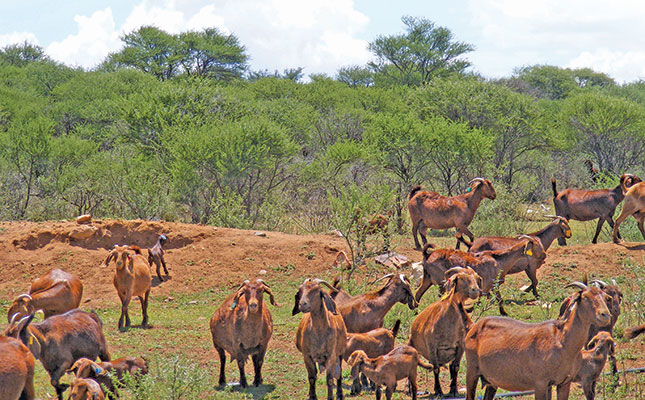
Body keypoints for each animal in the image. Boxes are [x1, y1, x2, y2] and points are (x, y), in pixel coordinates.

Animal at [410, 266, 480, 396]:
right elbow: (436, 369)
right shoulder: (432, 347)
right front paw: (438, 391)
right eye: (462, 278)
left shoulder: (460, 346)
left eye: (476, 277)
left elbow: (455, 367)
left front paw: (453, 389)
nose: (475, 290)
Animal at [462, 282, 608, 400]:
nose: (605, 314)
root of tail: (474, 327)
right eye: (585, 297)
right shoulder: (540, 383)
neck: (563, 342)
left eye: (605, 297)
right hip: (472, 370)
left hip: (492, 381)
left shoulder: (564, 383)